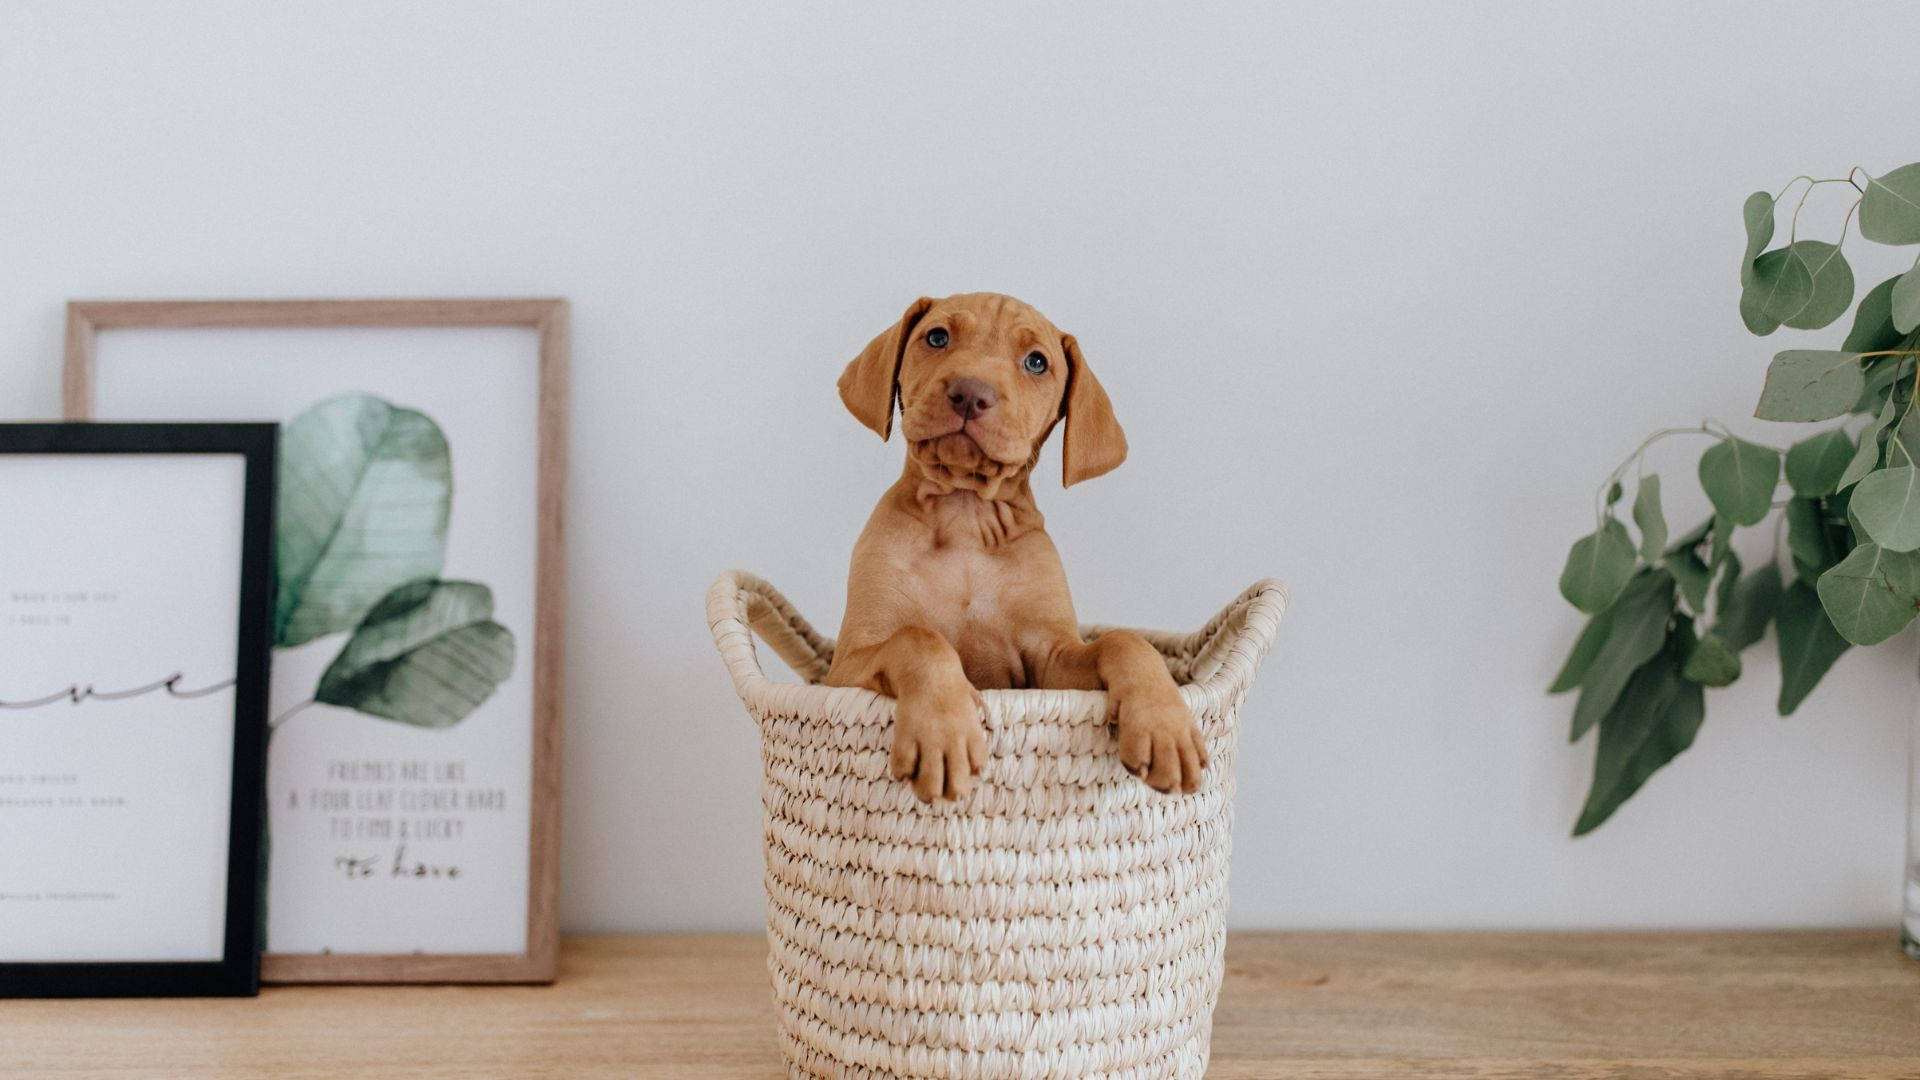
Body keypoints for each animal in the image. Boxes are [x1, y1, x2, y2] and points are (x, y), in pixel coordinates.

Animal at [821, 294, 1205, 799]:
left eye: (1036, 362)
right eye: (937, 337)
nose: (970, 392)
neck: (965, 512)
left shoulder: (1052, 660)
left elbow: (1124, 642)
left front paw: (1164, 725)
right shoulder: (846, 666)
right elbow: (918, 638)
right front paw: (942, 733)